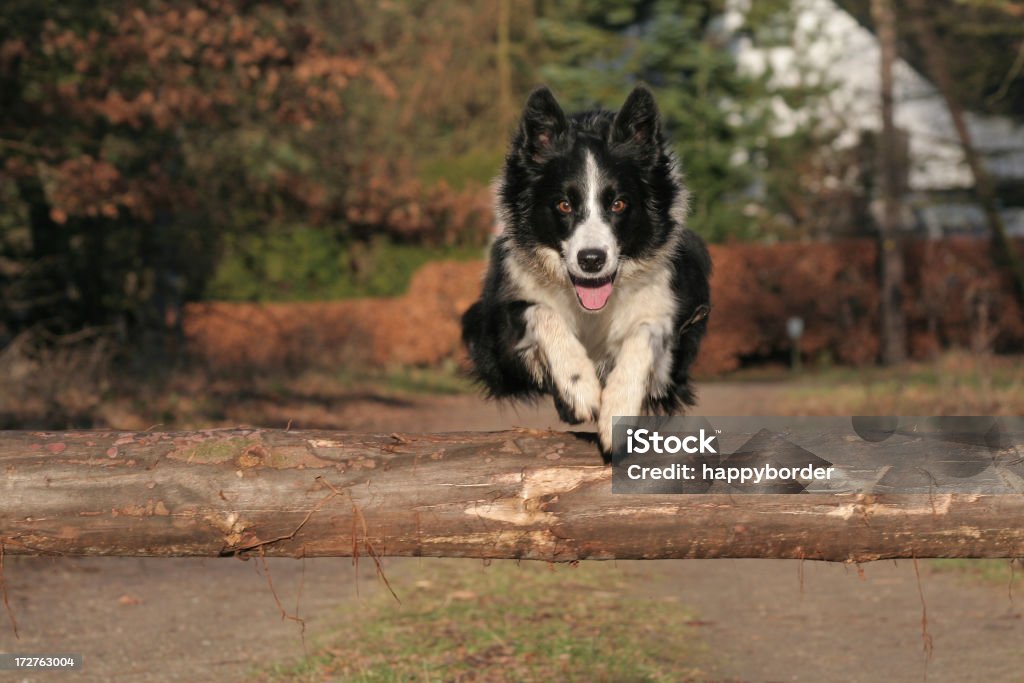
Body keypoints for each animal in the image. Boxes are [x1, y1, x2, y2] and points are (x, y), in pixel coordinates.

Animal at [460, 87, 708, 458]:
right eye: (564, 204)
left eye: (618, 204)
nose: (592, 260)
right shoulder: (496, 334)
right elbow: (541, 311)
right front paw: (578, 387)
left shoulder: (671, 321)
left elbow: (646, 332)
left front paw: (617, 407)